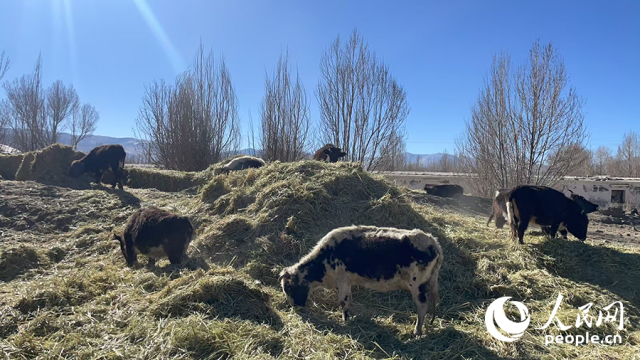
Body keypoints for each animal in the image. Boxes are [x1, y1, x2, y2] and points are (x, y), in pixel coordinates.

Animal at [278, 226, 442, 336]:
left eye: (289, 288)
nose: (295, 307)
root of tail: (432, 241)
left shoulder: (343, 280)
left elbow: (343, 301)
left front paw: (345, 320)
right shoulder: (347, 282)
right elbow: (348, 300)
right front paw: (348, 318)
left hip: (416, 284)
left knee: (422, 305)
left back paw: (417, 331)